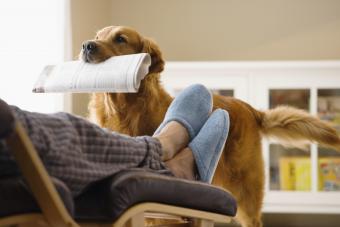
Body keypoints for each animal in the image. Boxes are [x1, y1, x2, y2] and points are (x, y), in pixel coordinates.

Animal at [81, 25, 340, 226]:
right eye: (97, 35)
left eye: (120, 39)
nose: (86, 46)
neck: (124, 109)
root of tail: (251, 109)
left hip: (246, 193)